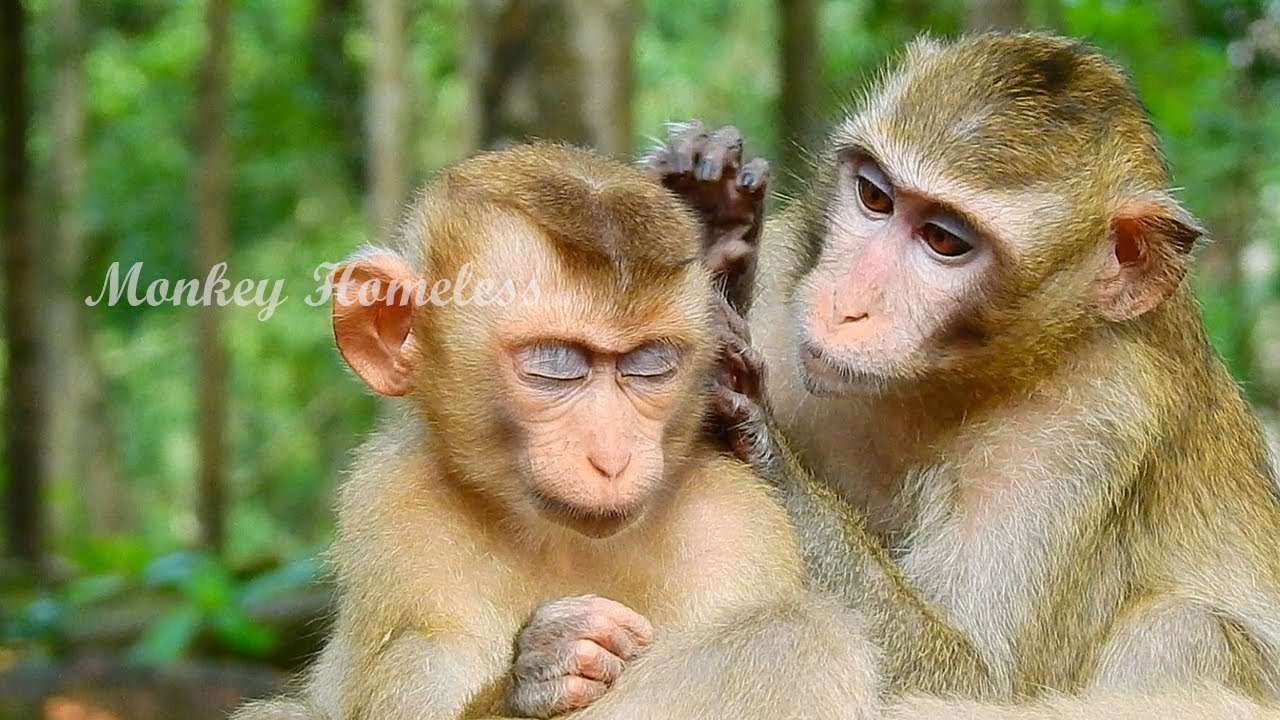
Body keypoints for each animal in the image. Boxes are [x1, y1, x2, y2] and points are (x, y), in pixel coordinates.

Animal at [231, 142, 883, 720]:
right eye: (555, 365)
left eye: (650, 364)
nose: (611, 457)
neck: (561, 542)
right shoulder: (394, 512)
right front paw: (547, 668)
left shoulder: (736, 524)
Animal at [636, 31, 1280, 717]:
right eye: (875, 197)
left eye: (945, 240)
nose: (845, 304)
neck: (945, 380)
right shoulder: (790, 290)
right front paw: (710, 231)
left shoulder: (1089, 421)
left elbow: (979, 679)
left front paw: (756, 434)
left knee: (1185, 629)